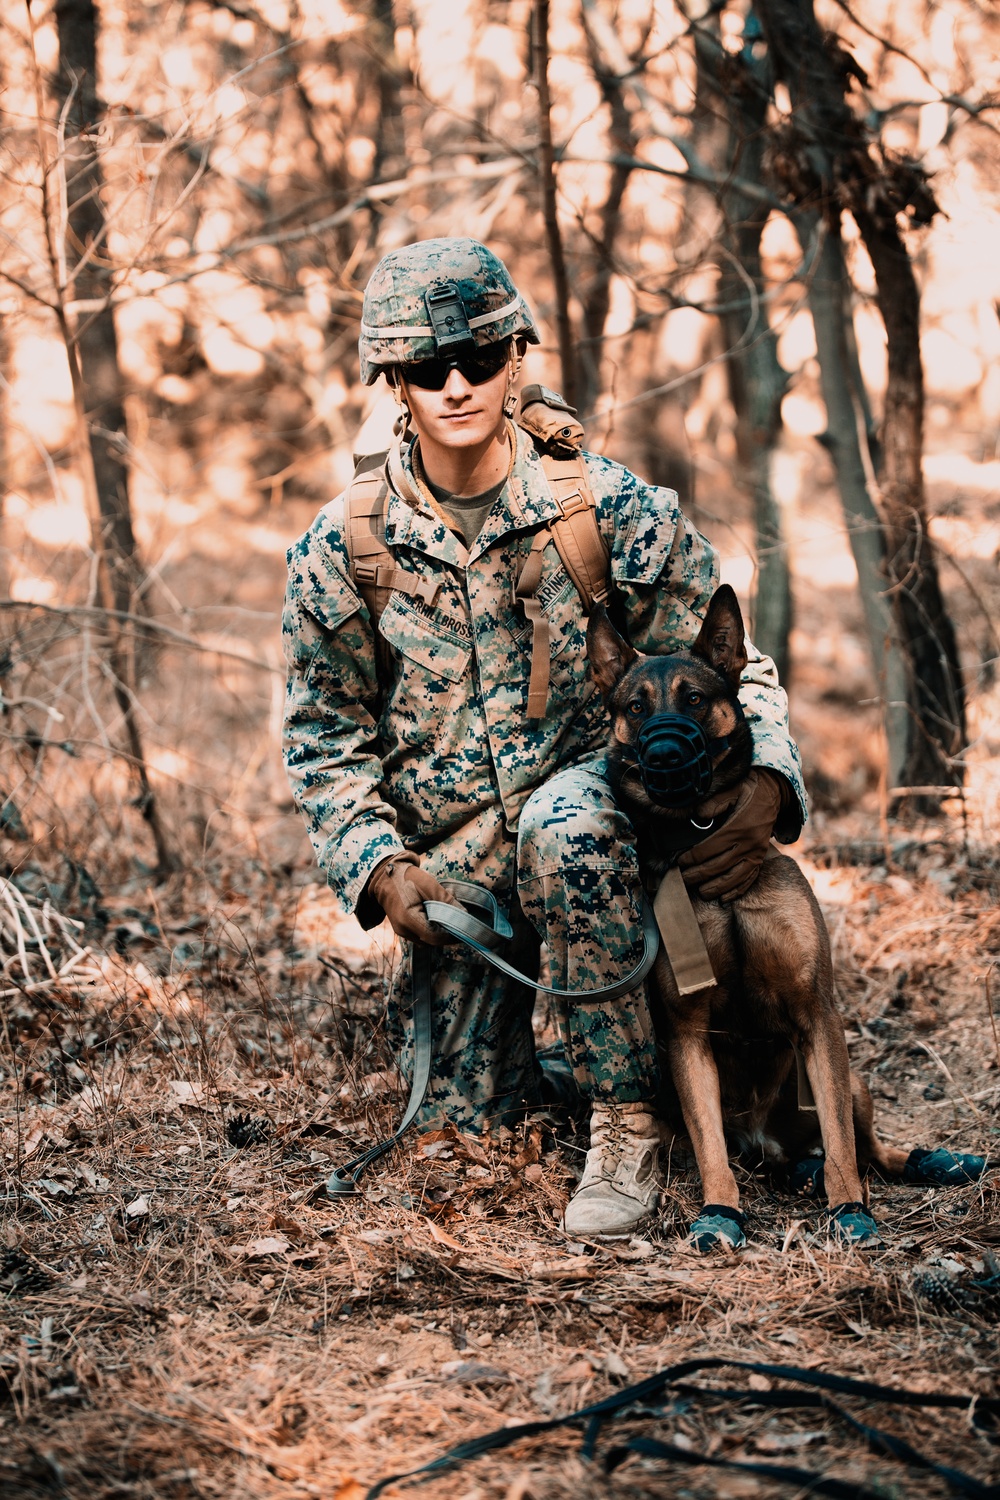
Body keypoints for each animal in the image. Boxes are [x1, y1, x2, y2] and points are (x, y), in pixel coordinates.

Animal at [587, 585, 983, 1254]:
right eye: (635, 708)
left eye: (695, 698)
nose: (664, 751)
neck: (701, 835)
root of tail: (766, 1144)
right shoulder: (688, 1037)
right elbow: (711, 1149)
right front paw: (720, 1212)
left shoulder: (816, 1014)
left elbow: (844, 1147)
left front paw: (849, 1210)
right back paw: (797, 1171)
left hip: (849, 1077)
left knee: (869, 1147)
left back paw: (928, 1161)